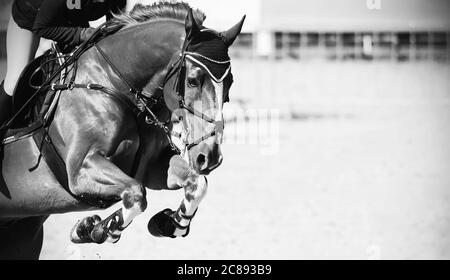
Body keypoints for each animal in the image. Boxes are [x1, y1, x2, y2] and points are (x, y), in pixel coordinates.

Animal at [0, 1, 246, 260]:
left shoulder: (152, 167)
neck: (114, 82)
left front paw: (170, 224)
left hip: (24, 233)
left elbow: (197, 184)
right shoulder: (81, 169)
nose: (210, 157)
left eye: (229, 83)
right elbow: (136, 194)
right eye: (192, 81)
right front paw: (94, 229)